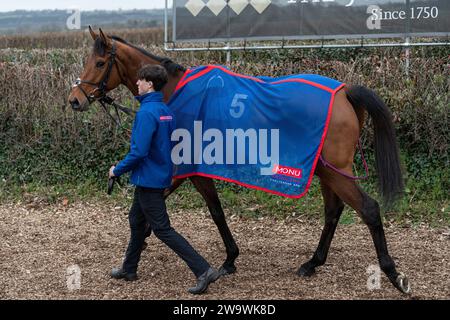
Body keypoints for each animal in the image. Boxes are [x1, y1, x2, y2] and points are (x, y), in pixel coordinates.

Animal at [67, 28, 412, 296]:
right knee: (333, 211)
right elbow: (166, 211)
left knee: (368, 209)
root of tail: (344, 92)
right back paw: (312, 263)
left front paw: (224, 259)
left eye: (100, 62)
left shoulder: (188, 170)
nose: (74, 100)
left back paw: (393, 274)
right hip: (327, 172)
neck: (173, 91)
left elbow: (210, 212)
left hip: (334, 173)